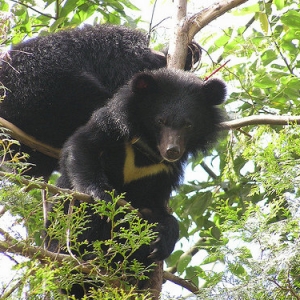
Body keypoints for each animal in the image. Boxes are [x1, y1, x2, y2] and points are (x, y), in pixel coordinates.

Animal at [49, 68, 225, 298]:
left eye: (188, 124)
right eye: (160, 121)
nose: (172, 151)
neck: (148, 150)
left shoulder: (165, 172)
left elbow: (155, 207)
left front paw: (163, 240)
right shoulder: (111, 124)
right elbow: (82, 146)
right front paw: (101, 196)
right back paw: (87, 261)